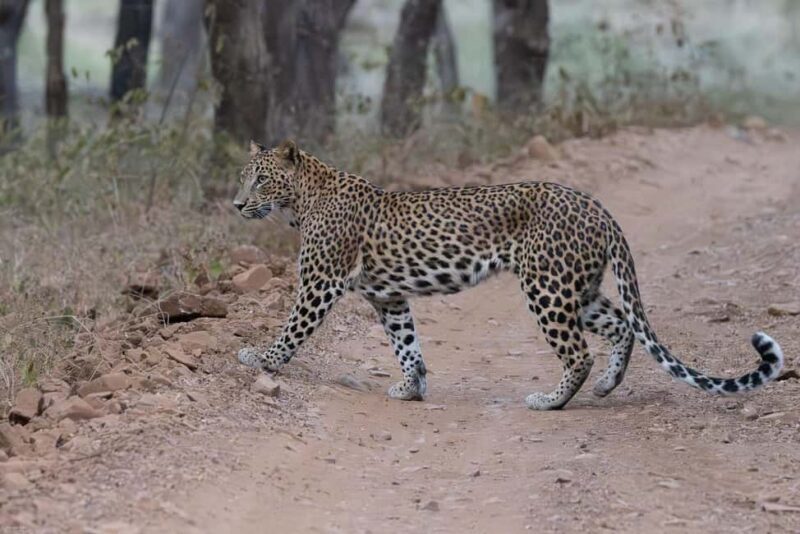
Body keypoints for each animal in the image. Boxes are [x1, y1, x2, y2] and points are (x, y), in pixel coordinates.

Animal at [233, 139, 784, 410]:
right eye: (243, 178)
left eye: (259, 179)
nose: (236, 204)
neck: (300, 202)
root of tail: (597, 206)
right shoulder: (388, 299)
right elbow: (406, 344)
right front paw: (411, 388)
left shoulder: (320, 282)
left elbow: (292, 328)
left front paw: (262, 358)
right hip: (579, 289)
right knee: (622, 327)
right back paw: (608, 386)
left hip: (547, 285)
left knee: (579, 352)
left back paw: (551, 401)